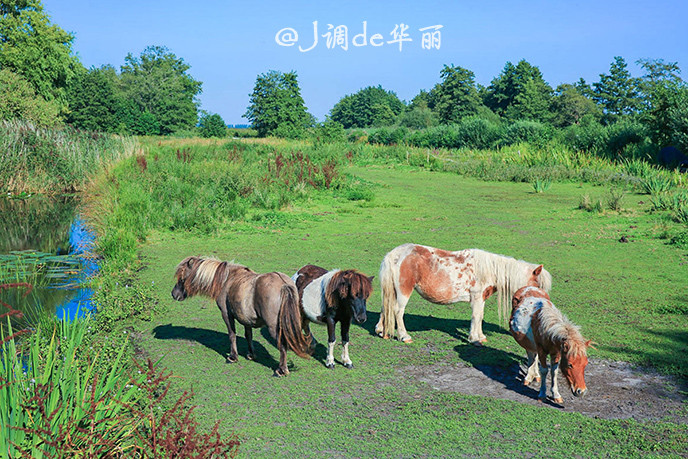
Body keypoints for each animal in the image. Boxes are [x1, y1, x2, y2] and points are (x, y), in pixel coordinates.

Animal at [172, 256, 312, 380]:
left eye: (182, 278)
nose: (174, 294)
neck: (226, 279)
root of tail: (283, 285)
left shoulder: (226, 314)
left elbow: (232, 335)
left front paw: (233, 357)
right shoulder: (246, 319)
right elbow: (248, 335)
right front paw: (251, 354)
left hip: (274, 328)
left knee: (282, 345)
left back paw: (281, 370)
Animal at [374, 244, 552, 344]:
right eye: (538, 285)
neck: (488, 269)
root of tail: (394, 255)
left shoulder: (481, 299)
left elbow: (479, 316)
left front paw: (481, 337)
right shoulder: (477, 298)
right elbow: (476, 317)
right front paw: (474, 339)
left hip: (392, 291)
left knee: (386, 308)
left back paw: (382, 332)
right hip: (404, 292)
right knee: (398, 312)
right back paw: (404, 336)